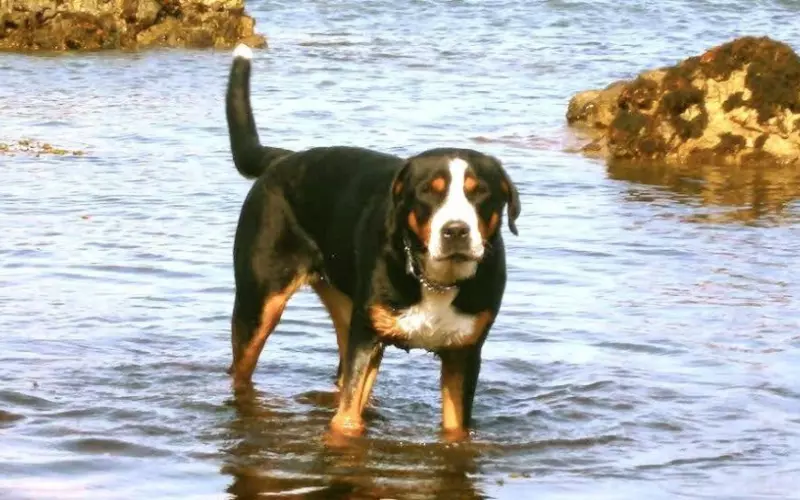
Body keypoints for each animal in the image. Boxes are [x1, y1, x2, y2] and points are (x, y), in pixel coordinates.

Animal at [225, 45, 520, 440]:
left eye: (481, 192)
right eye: (428, 191)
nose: (456, 230)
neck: (434, 281)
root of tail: (283, 158)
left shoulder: (464, 352)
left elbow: (455, 430)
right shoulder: (367, 340)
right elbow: (347, 419)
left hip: (346, 308)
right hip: (258, 304)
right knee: (241, 371)